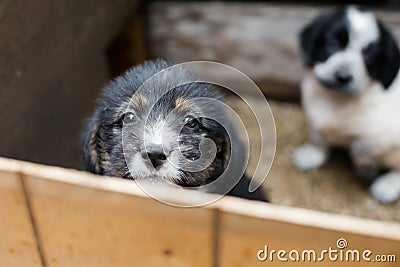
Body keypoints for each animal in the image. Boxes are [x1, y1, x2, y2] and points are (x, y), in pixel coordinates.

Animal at [292, 5, 400, 204]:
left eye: (369, 55)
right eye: (332, 44)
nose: (342, 77)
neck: (336, 100)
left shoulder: (387, 135)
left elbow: (360, 145)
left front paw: (366, 167)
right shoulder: (315, 120)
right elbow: (319, 139)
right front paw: (313, 156)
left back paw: (387, 186)